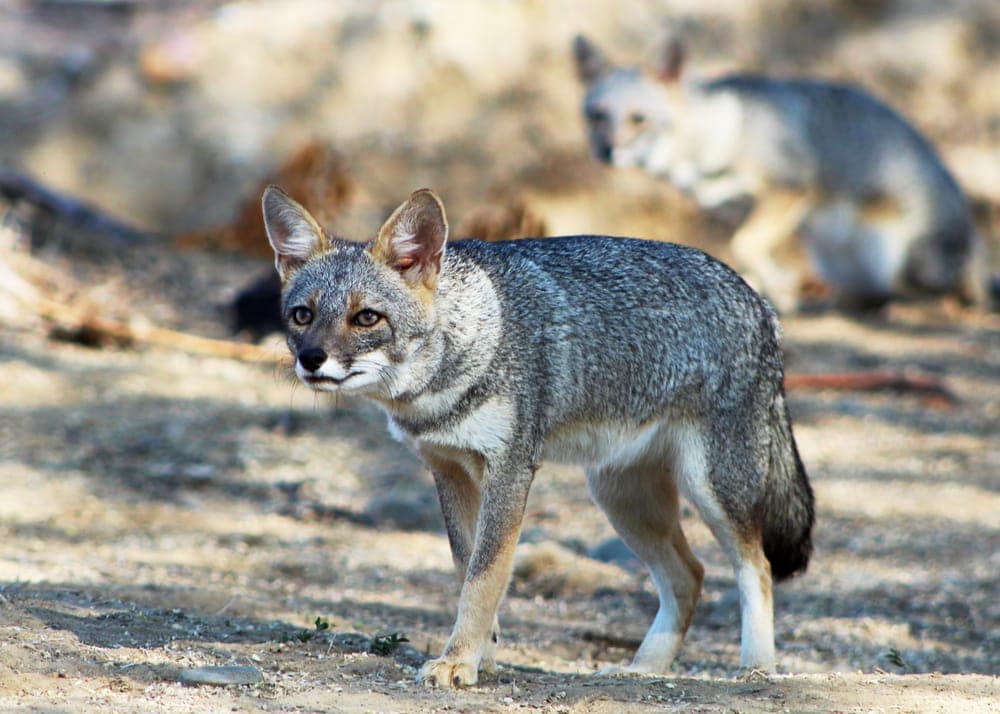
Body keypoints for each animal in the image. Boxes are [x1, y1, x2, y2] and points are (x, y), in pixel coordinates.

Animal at [261, 185, 814, 687]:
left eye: (366, 318)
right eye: (302, 315)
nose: (310, 360)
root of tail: (761, 304)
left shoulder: (510, 471)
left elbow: (484, 577)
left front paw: (459, 662)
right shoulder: (448, 470)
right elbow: (467, 570)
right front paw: (480, 657)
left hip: (711, 489)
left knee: (757, 566)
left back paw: (755, 669)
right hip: (620, 498)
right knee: (690, 576)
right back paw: (644, 670)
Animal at [573, 34, 984, 312]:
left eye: (638, 119)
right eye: (596, 116)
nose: (606, 151)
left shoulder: (790, 190)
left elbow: (745, 243)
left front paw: (781, 289)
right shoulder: (745, 206)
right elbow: (747, 249)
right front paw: (774, 288)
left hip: (896, 256)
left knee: (927, 292)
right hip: (836, 256)